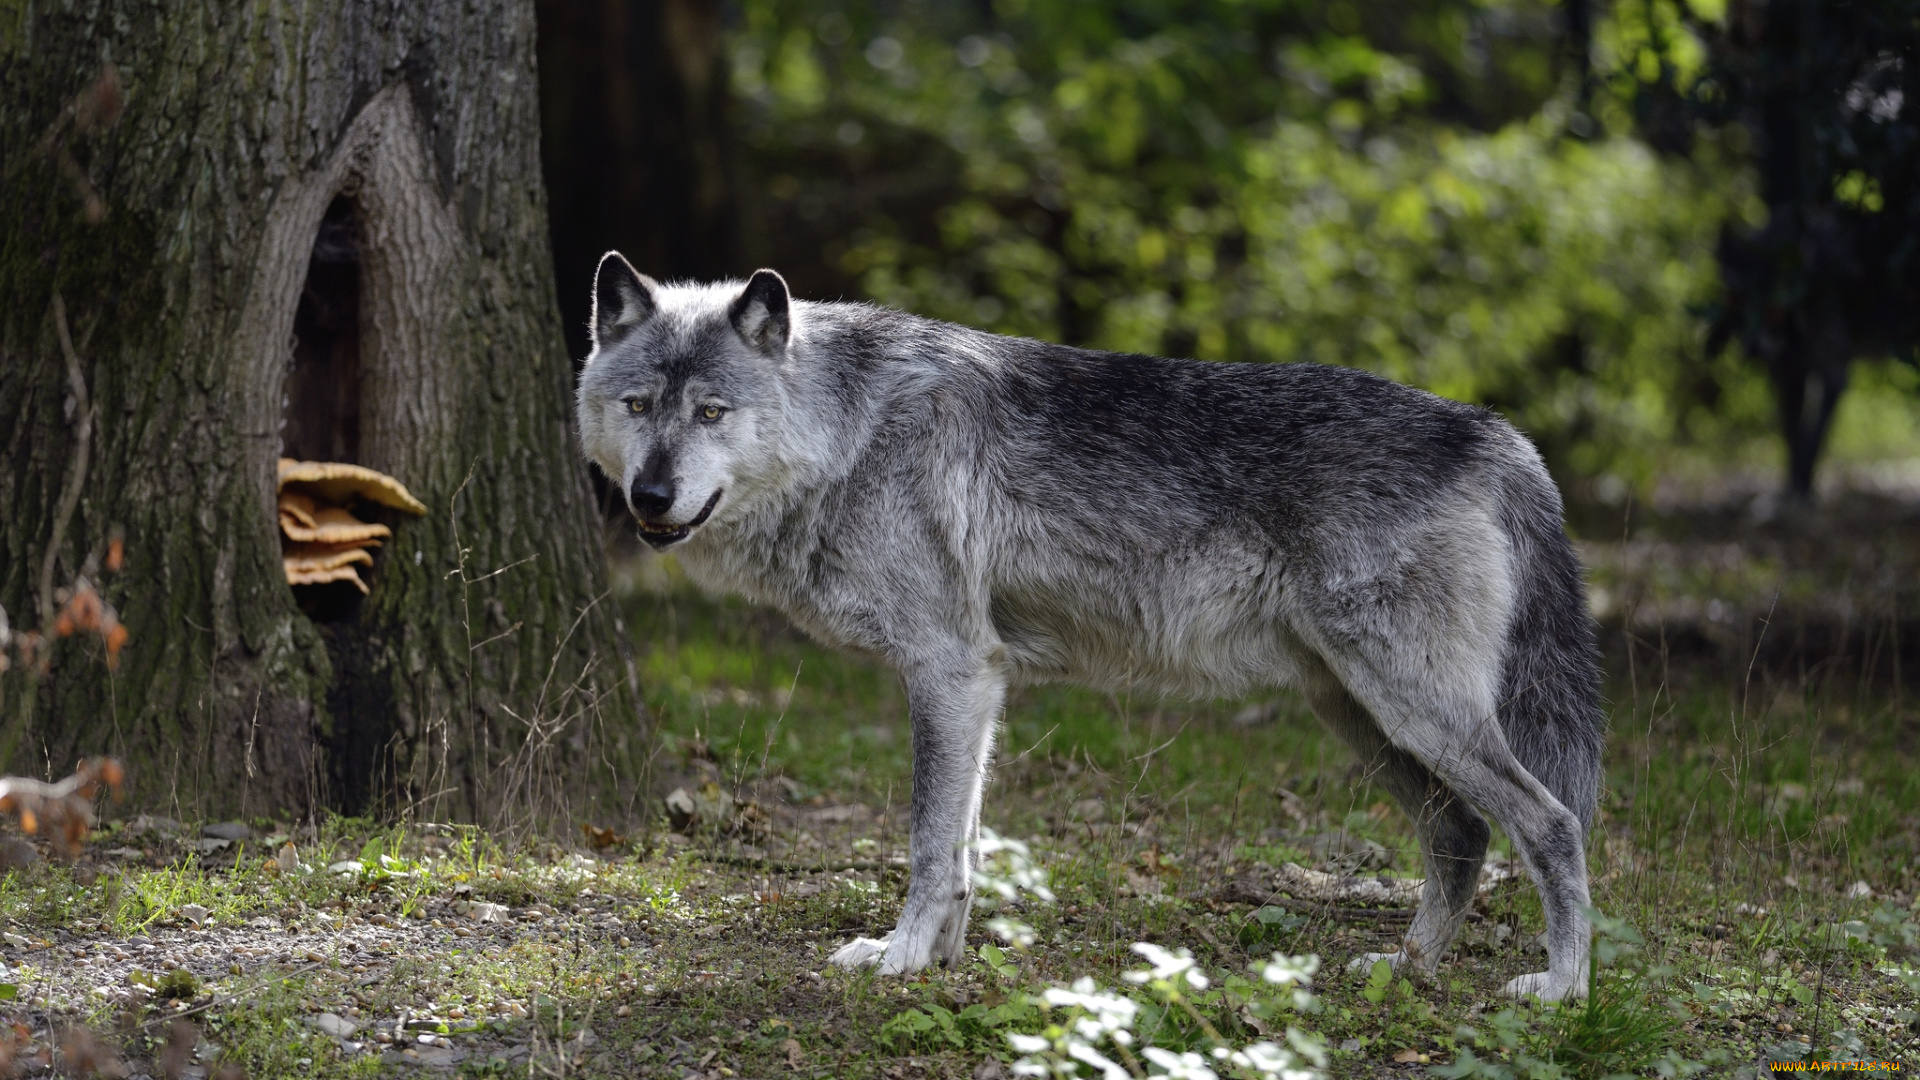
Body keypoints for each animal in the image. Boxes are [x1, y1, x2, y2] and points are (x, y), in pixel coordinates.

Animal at [576, 251, 1612, 999]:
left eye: (714, 412)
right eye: (639, 406)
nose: (651, 497)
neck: (853, 434)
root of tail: (1494, 432)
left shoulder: (949, 669)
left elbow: (927, 843)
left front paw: (900, 959)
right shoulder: (979, 683)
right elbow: (964, 847)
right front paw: (943, 960)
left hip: (1414, 713)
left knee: (1552, 826)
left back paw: (1562, 989)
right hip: (1364, 718)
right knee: (1462, 837)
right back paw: (1407, 970)